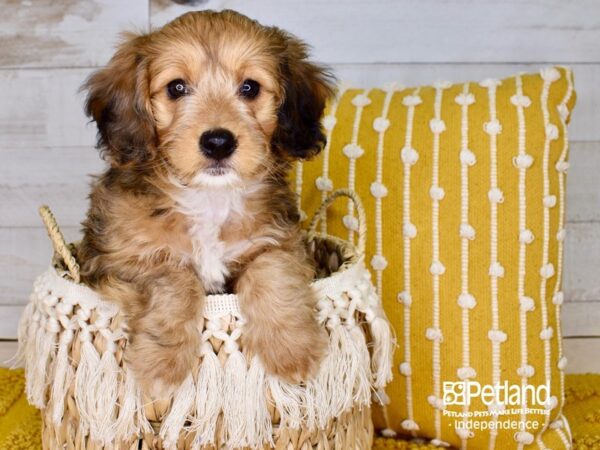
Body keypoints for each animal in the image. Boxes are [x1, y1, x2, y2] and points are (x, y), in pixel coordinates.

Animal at [76, 9, 332, 398]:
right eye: (177, 88)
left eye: (250, 87)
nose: (218, 142)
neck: (209, 198)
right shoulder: (115, 261)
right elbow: (175, 278)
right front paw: (161, 364)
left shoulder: (280, 243)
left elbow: (272, 271)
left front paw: (292, 349)